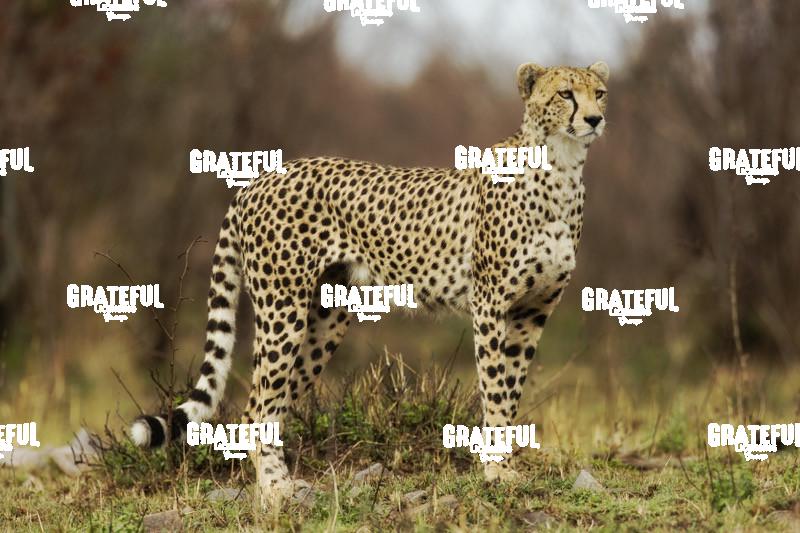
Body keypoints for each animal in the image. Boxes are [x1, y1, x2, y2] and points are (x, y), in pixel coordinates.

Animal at [130, 60, 610, 508]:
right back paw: (275, 491)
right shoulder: (491, 304)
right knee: (255, 409)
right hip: (282, 309)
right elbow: (494, 390)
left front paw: (505, 465)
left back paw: (285, 483)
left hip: (326, 319)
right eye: (566, 94)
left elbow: (510, 393)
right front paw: (495, 471)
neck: (561, 168)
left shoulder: (532, 312)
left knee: (275, 403)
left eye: (600, 93)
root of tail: (260, 178)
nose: (594, 119)